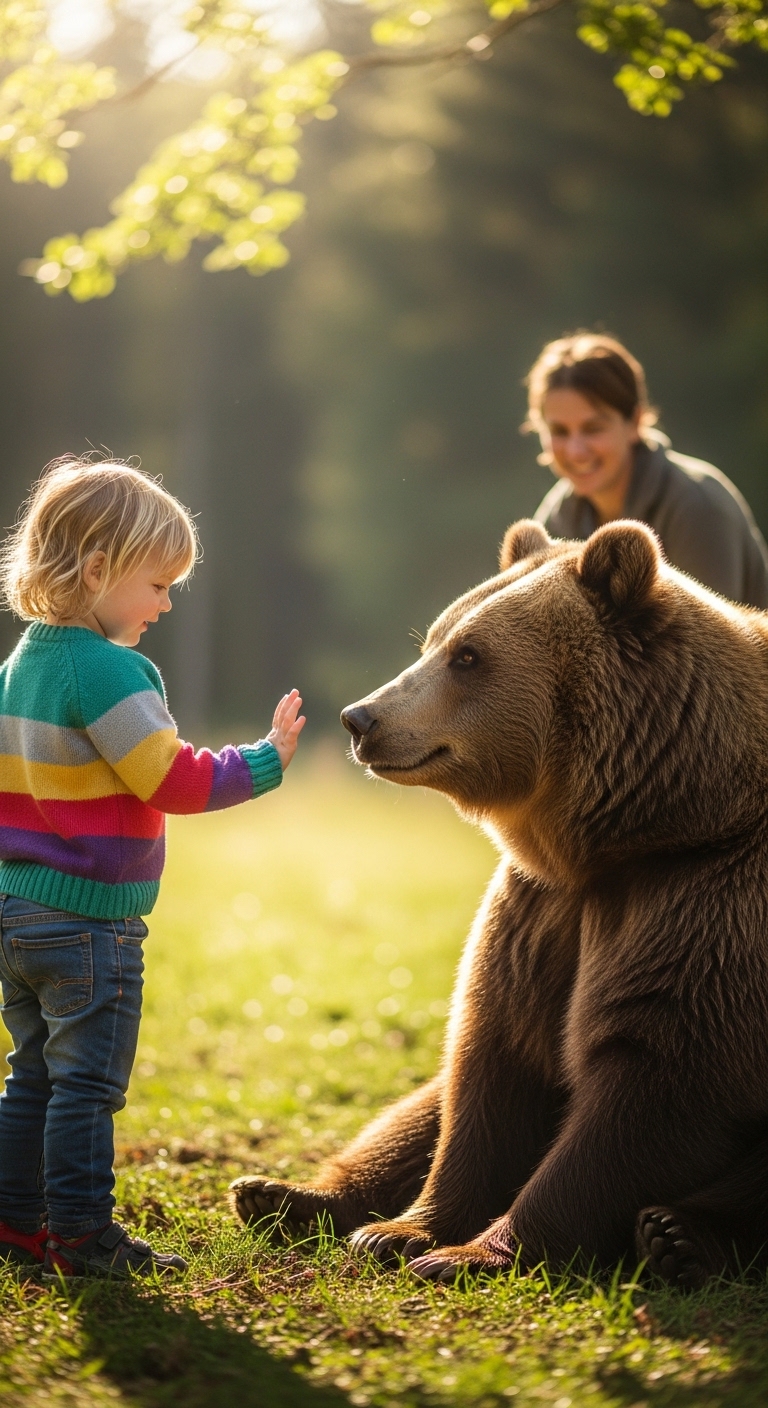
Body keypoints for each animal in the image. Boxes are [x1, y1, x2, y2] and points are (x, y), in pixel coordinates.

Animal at [230, 518, 768, 1288]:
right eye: (433, 640)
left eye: (469, 655)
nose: (361, 718)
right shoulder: (541, 911)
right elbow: (487, 1073)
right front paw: (402, 1232)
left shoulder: (703, 902)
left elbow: (651, 1086)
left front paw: (471, 1251)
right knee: (416, 1109)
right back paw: (282, 1194)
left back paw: (680, 1235)